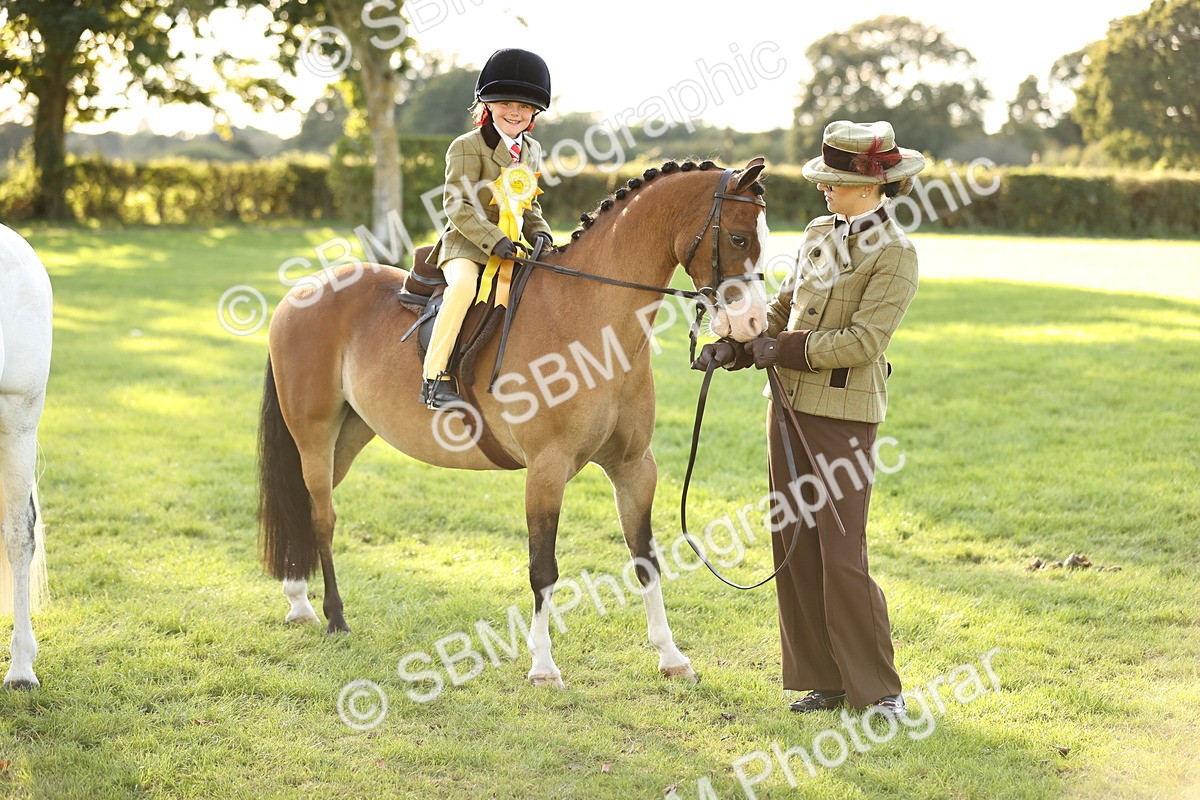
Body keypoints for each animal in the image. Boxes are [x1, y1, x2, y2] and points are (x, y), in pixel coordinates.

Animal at [257, 158, 769, 686]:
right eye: (737, 238)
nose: (755, 325)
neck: (589, 317)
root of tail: (304, 290)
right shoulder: (547, 469)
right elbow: (543, 568)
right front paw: (543, 666)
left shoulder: (634, 467)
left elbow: (646, 559)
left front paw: (671, 657)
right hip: (314, 435)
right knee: (322, 516)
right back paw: (333, 616)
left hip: (349, 435)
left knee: (305, 504)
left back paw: (298, 602)